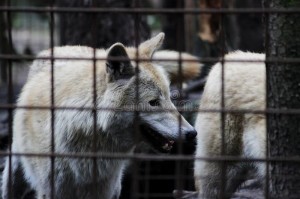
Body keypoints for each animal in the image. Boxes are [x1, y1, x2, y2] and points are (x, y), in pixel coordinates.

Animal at [2, 33, 202, 199]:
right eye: (153, 102)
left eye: (169, 98)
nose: (192, 133)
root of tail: (59, 48)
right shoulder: (53, 191)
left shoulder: (106, 190)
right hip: (14, 173)